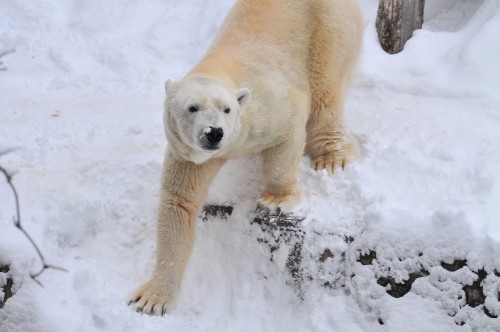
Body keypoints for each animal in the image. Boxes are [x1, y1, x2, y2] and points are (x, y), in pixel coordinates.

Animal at [131, 0, 362, 316]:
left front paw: (275, 200)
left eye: (226, 109)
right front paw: (153, 298)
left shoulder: (264, 107)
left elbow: (288, 129)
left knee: (325, 87)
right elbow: (178, 205)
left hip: (330, 26)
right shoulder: (187, 153)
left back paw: (330, 157)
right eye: (192, 108)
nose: (213, 133)